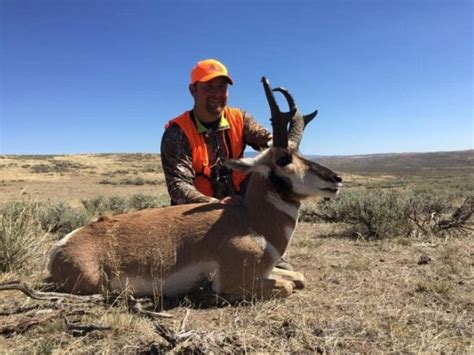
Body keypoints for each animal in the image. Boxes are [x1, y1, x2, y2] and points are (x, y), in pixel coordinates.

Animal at [48, 76, 342, 302]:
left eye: (300, 153)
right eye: (283, 159)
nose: (336, 179)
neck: (250, 221)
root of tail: (62, 246)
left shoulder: (268, 269)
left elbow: (299, 277)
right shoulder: (235, 279)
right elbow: (289, 286)